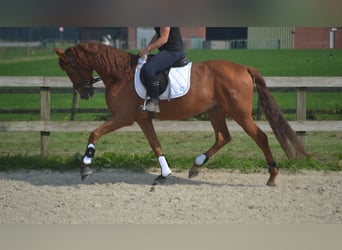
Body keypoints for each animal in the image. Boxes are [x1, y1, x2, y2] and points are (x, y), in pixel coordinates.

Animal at [55, 42, 308, 186]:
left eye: (68, 67)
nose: (85, 92)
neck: (121, 74)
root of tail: (243, 68)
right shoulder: (142, 119)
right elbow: (155, 144)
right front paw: (164, 173)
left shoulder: (123, 117)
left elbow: (94, 133)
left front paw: (85, 165)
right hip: (216, 111)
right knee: (223, 137)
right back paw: (196, 165)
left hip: (240, 114)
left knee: (260, 137)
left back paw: (272, 175)